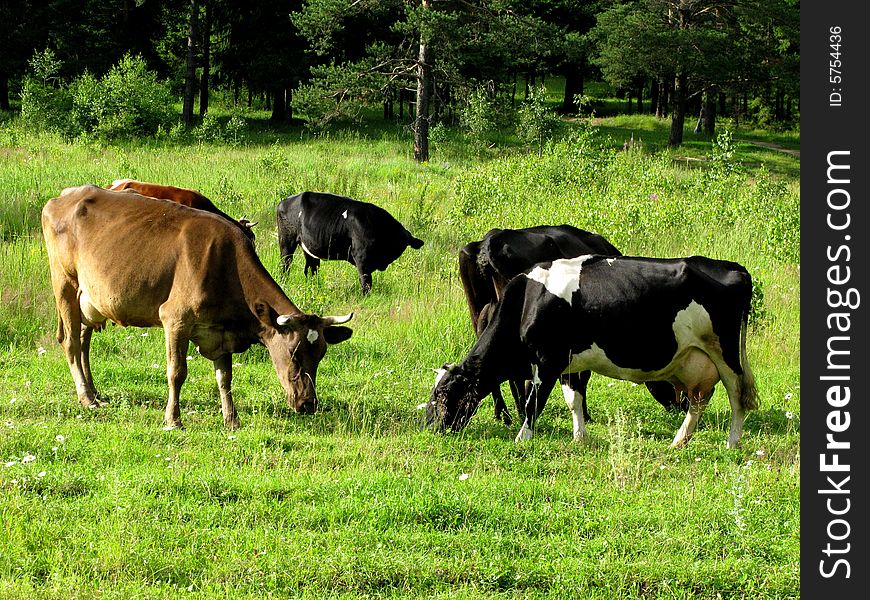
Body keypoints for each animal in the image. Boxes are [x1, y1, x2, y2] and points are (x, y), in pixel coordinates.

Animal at [42, 185, 352, 428]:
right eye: (294, 354)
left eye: (321, 354)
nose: (308, 404)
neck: (226, 264)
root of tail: (63, 196)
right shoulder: (175, 319)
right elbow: (177, 372)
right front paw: (173, 419)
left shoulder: (220, 332)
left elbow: (225, 377)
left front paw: (231, 419)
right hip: (64, 283)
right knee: (71, 341)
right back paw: (86, 397)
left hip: (89, 299)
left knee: (84, 340)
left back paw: (95, 393)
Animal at [280, 191, 426, 294]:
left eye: (403, 244)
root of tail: (286, 200)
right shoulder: (361, 258)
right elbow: (366, 282)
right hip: (286, 242)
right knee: (285, 264)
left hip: (309, 249)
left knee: (311, 269)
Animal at [428, 254, 756, 450]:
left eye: (442, 394)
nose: (429, 426)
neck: (528, 300)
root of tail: (734, 267)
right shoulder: (570, 364)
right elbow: (573, 401)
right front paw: (579, 437)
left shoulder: (547, 360)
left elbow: (534, 403)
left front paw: (523, 438)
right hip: (696, 360)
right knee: (699, 401)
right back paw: (678, 441)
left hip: (726, 355)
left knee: (737, 397)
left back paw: (732, 443)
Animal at [460, 225, 692, 426]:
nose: (683, 405)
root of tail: (491, 239)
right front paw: (585, 414)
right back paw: (517, 411)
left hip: (479, 309)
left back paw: (503, 413)